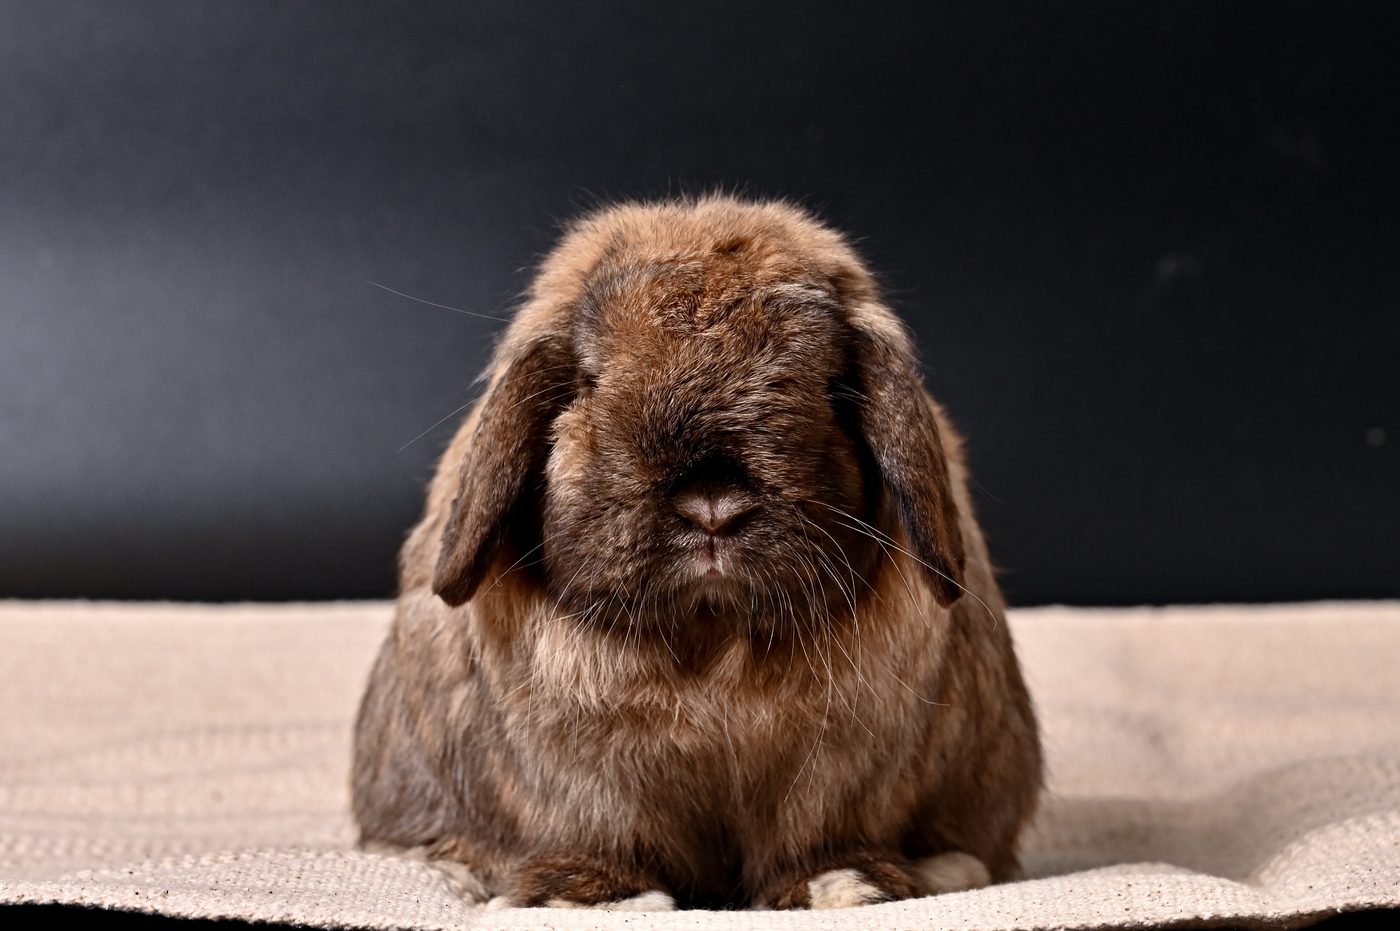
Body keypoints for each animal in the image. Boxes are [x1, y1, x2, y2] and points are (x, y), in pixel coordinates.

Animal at [351, 195, 1042, 910]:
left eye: (830, 387)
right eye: (586, 382)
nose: (712, 506)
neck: (710, 639)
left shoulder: (841, 777)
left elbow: (821, 837)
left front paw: (846, 885)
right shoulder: (584, 785)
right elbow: (595, 836)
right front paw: (592, 896)